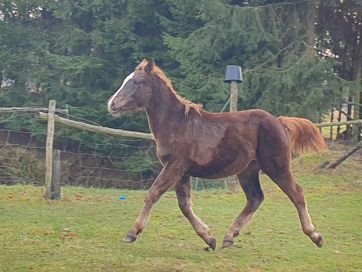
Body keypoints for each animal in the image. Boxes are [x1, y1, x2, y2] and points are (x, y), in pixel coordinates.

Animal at [107, 59, 326, 251]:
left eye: (137, 81)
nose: (112, 104)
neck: (177, 123)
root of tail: (279, 121)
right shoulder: (183, 172)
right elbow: (184, 205)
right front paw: (209, 238)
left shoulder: (174, 166)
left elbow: (153, 193)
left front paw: (132, 233)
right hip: (248, 170)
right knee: (255, 198)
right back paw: (229, 237)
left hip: (276, 166)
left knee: (296, 193)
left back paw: (315, 236)